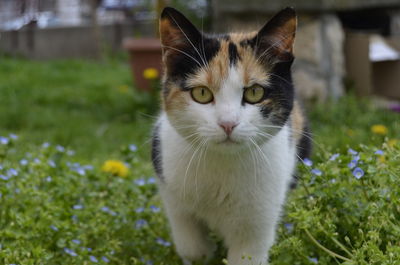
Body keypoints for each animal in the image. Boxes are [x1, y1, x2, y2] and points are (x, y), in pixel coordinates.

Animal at [152, 6, 310, 264]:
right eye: (202, 93)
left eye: (255, 92)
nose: (228, 123)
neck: (222, 165)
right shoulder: (173, 198)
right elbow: (192, 248)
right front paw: (204, 251)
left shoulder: (257, 223)